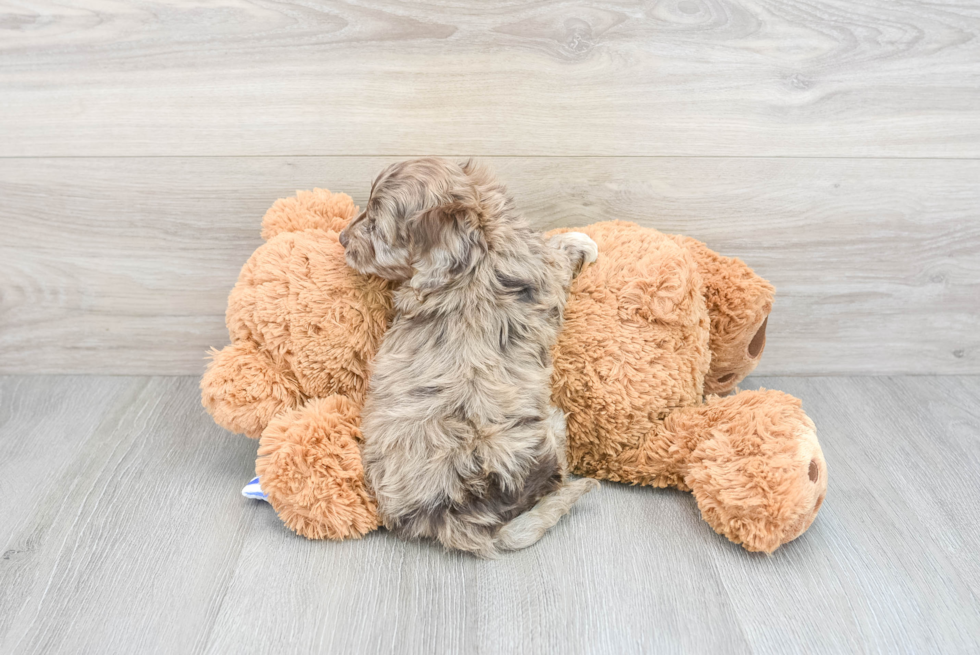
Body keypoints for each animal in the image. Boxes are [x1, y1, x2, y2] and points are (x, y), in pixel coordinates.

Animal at [340, 159, 600, 560]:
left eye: (374, 226)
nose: (341, 239)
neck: (476, 243)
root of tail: (450, 515)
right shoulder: (545, 274)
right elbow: (555, 254)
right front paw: (580, 241)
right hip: (540, 442)